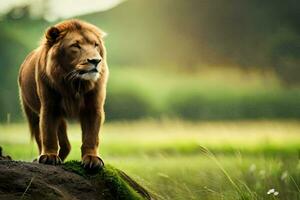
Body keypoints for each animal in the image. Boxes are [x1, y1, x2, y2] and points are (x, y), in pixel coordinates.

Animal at [18, 19, 109, 170]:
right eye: (75, 45)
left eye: (95, 45)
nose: (96, 61)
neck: (75, 82)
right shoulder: (49, 107)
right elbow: (48, 134)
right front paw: (49, 156)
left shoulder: (93, 107)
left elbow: (91, 136)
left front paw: (92, 158)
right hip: (32, 113)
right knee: (41, 137)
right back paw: (40, 157)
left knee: (66, 144)